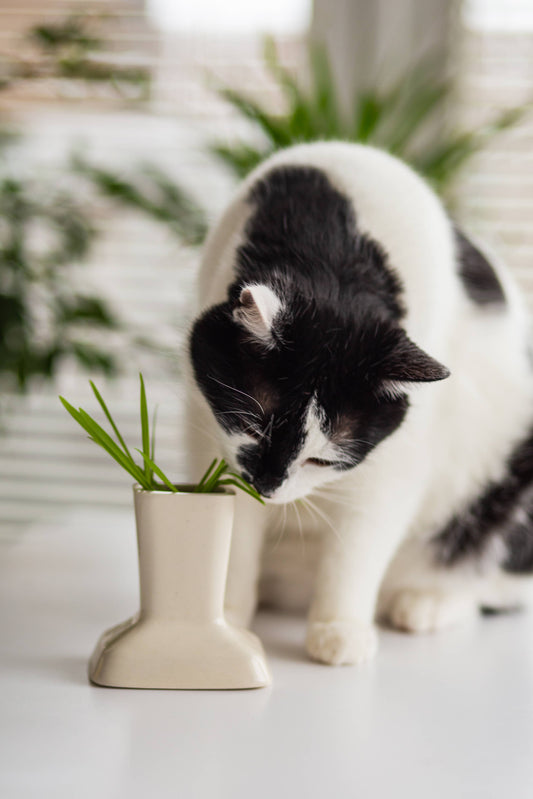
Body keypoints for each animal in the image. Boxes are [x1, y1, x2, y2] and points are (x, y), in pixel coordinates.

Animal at [185, 141, 532, 664]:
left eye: (322, 459)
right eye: (252, 427)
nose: (267, 488)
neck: (334, 253)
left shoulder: (395, 465)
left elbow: (358, 546)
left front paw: (339, 628)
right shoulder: (207, 430)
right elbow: (230, 537)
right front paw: (225, 617)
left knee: (495, 579)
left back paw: (429, 601)